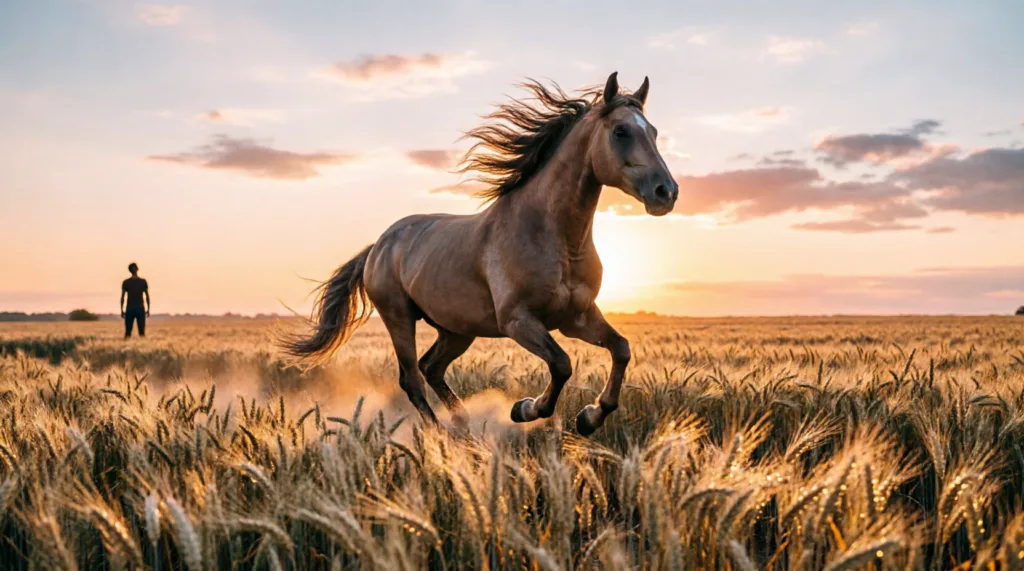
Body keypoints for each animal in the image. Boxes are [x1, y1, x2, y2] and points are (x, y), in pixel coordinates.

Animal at [282, 71, 678, 436]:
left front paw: (589, 417)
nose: (666, 192)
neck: (557, 239)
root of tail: (378, 246)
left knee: (431, 368)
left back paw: (463, 423)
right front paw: (526, 409)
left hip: (457, 329)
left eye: (654, 132)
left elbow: (621, 349)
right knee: (412, 378)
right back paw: (441, 434)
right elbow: (562, 363)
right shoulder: (517, 320)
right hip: (399, 318)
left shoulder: (576, 317)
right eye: (621, 132)